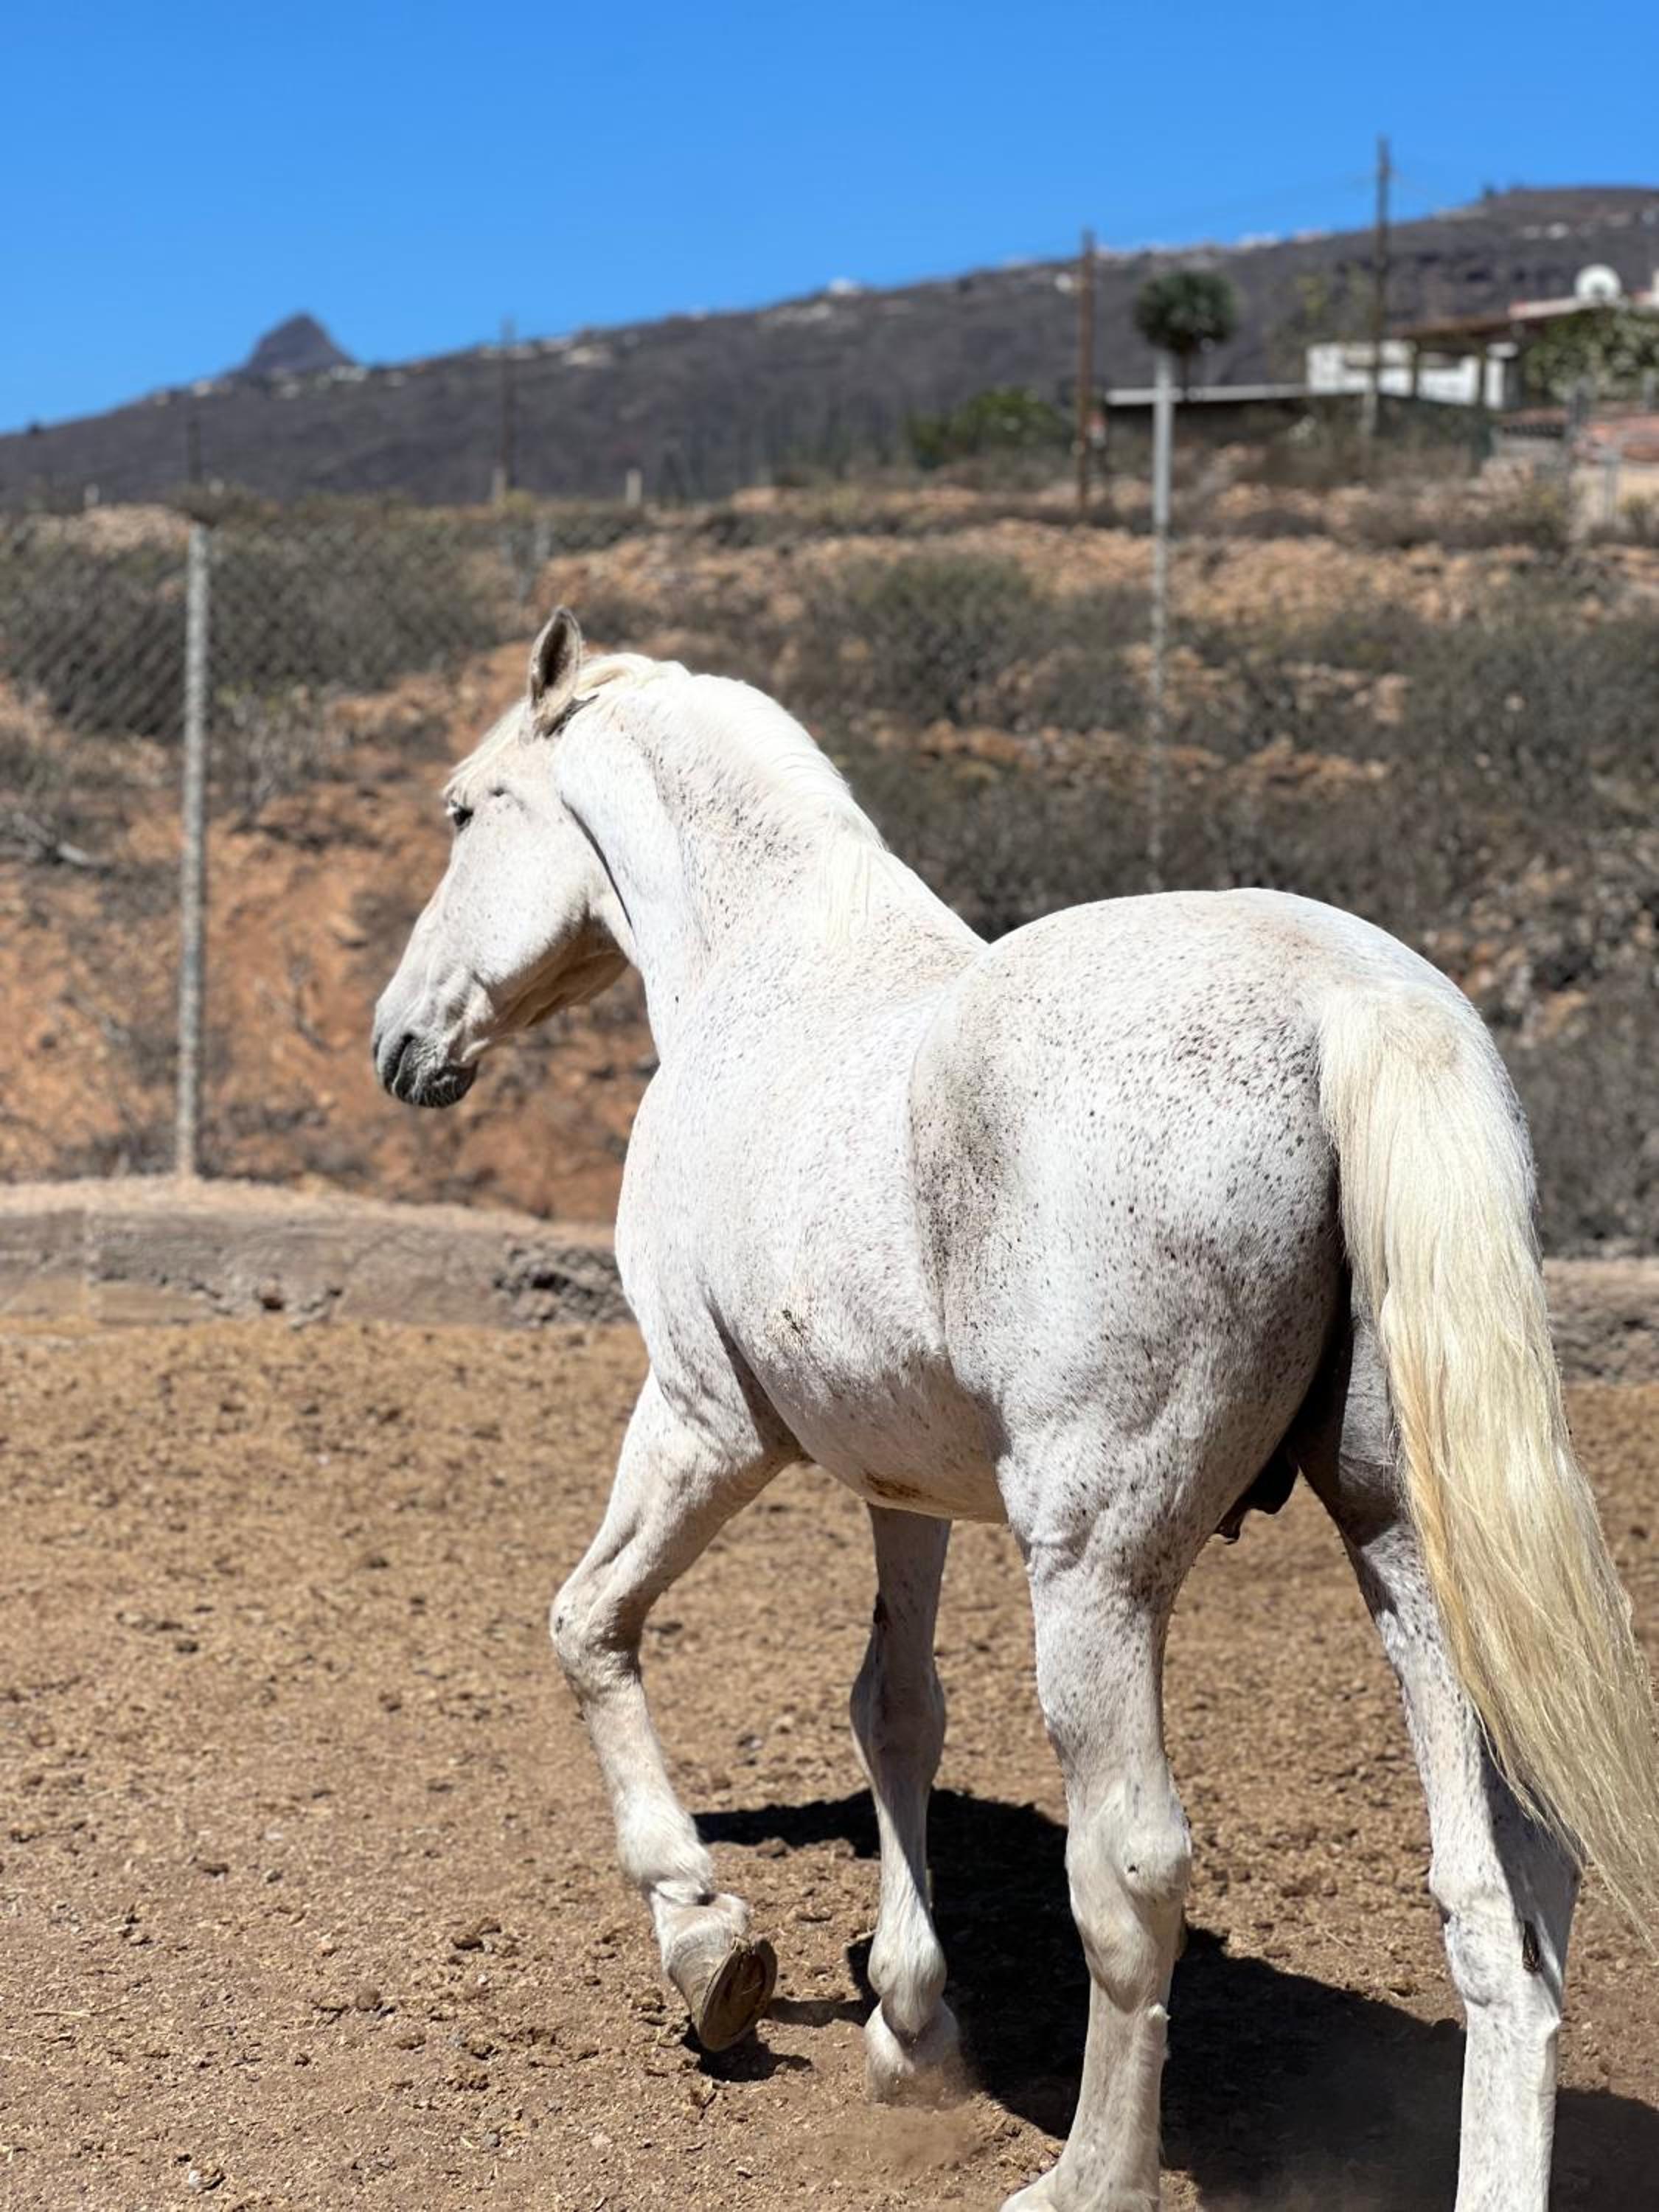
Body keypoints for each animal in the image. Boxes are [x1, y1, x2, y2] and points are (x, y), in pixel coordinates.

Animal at [373, 608, 1659, 2210]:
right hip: (1411, 1552)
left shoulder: (704, 1422)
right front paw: (909, 2029)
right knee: (1504, 1899)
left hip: (1099, 1577)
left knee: (1134, 1870)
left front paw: (708, 1945)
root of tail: (1350, 1001)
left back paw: (1086, 2179)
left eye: (463, 812)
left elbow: (587, 1626)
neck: (767, 971)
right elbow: (896, 1706)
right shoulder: (900, 1483)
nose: (400, 1043)